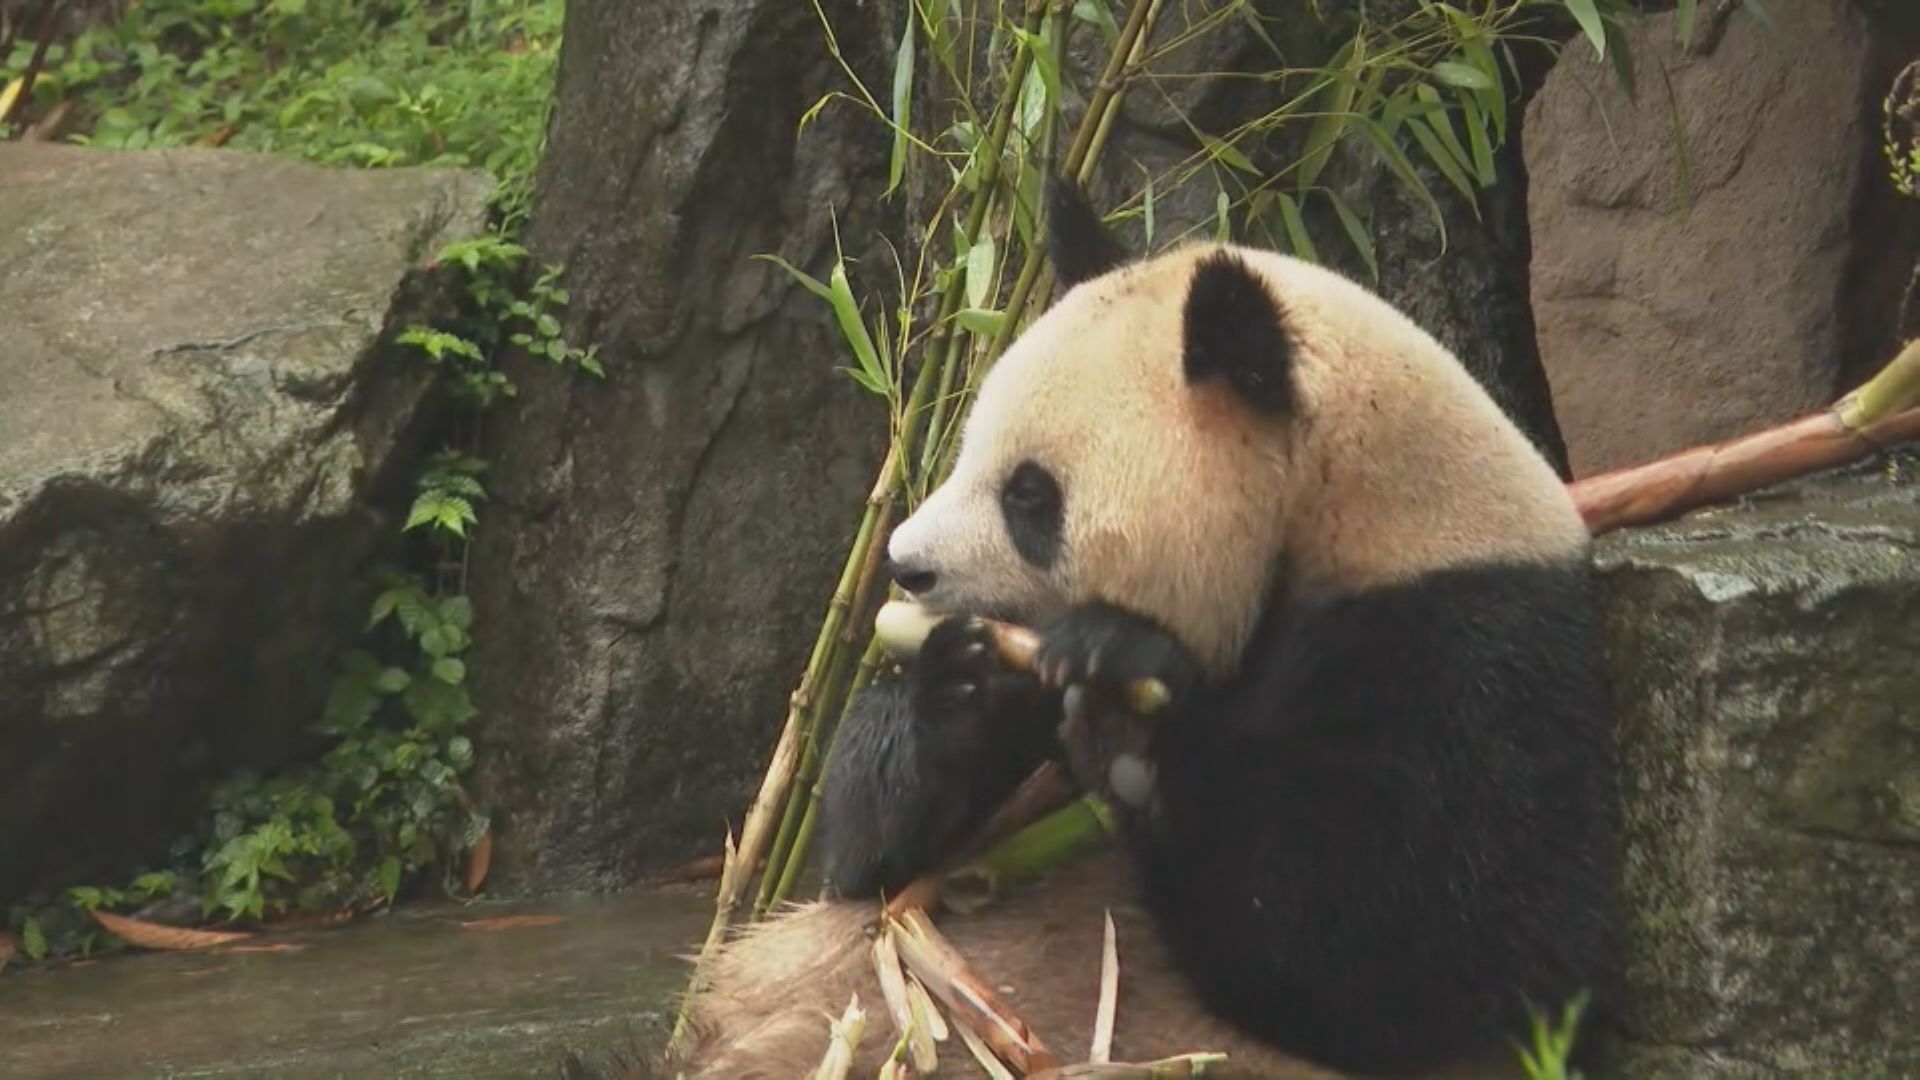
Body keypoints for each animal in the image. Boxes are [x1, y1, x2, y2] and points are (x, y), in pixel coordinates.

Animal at [618, 180, 1620, 1068]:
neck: (1335, 516)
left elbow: (1399, 950)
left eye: (1030, 495)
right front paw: (958, 689)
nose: (906, 563)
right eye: (968, 451)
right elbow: (870, 865)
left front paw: (1124, 687)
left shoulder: (1459, 644)